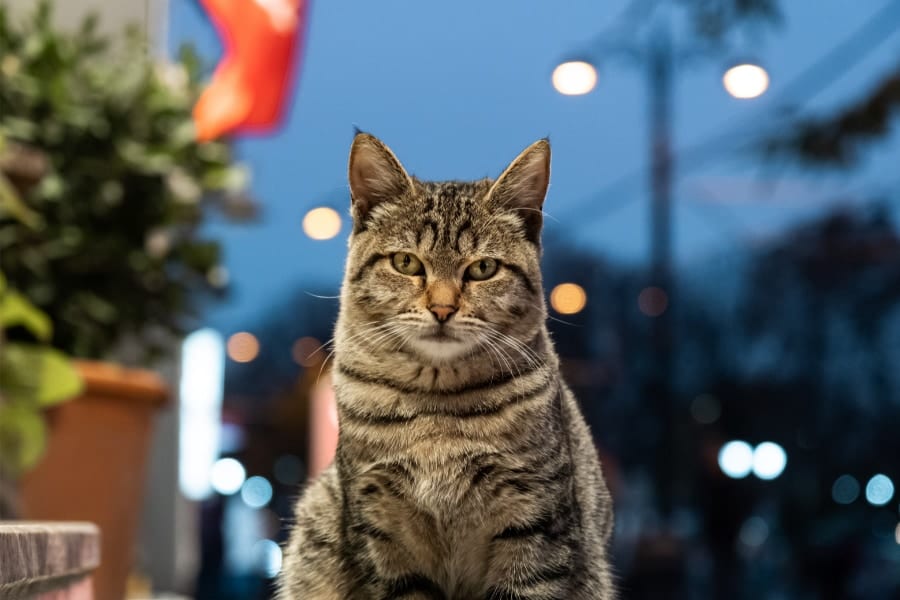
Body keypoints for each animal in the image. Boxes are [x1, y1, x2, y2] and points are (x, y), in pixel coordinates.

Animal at [280, 132, 620, 600]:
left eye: (483, 268)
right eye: (406, 262)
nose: (442, 308)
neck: (435, 404)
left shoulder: (535, 523)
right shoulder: (380, 529)